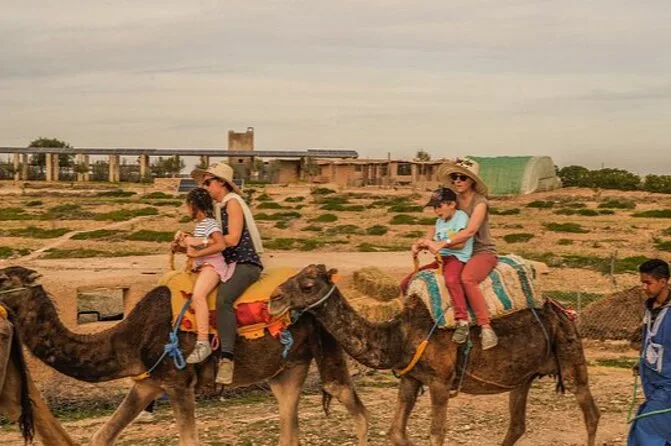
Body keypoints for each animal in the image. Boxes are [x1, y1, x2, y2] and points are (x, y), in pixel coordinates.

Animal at [269, 264, 601, 446]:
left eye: (307, 285)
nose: (274, 298)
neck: (398, 336)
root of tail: (562, 309)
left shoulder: (441, 382)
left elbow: (436, 435)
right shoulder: (410, 378)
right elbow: (396, 433)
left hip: (570, 354)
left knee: (590, 412)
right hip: (522, 376)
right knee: (517, 424)